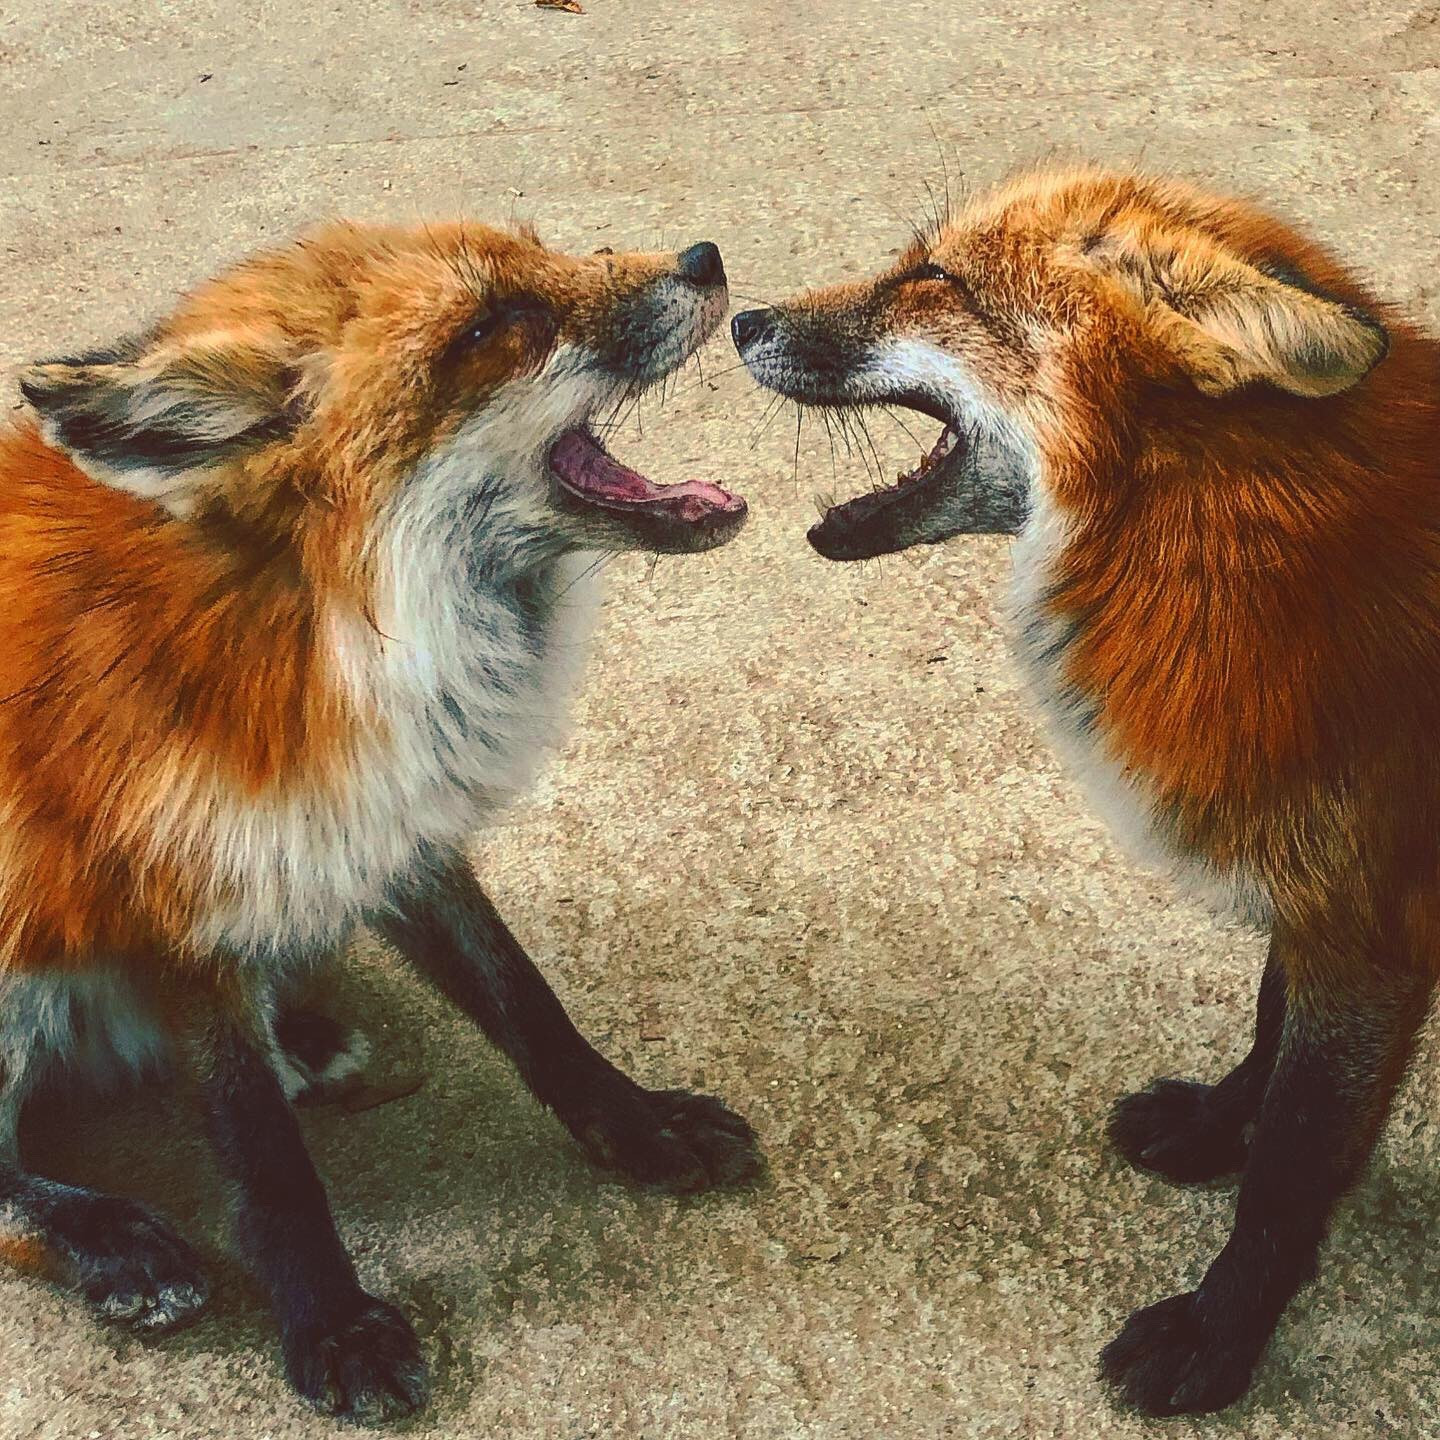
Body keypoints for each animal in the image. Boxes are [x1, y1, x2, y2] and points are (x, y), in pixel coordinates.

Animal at [0, 221, 760, 1416]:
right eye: (498, 327)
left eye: (546, 251)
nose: (703, 255)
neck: (319, 623)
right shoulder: (171, 893)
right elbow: (261, 1151)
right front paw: (330, 1323)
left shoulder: (401, 826)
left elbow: (525, 1002)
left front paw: (635, 1124)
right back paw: (109, 1241)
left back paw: (302, 1036)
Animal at [737, 171, 1434, 1416]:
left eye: (938, 280)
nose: (739, 318)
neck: (1220, 535)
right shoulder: (1312, 879)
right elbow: (1269, 1034)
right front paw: (1213, 1126)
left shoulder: (1370, 927)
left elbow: (1293, 1166)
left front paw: (1219, 1337)